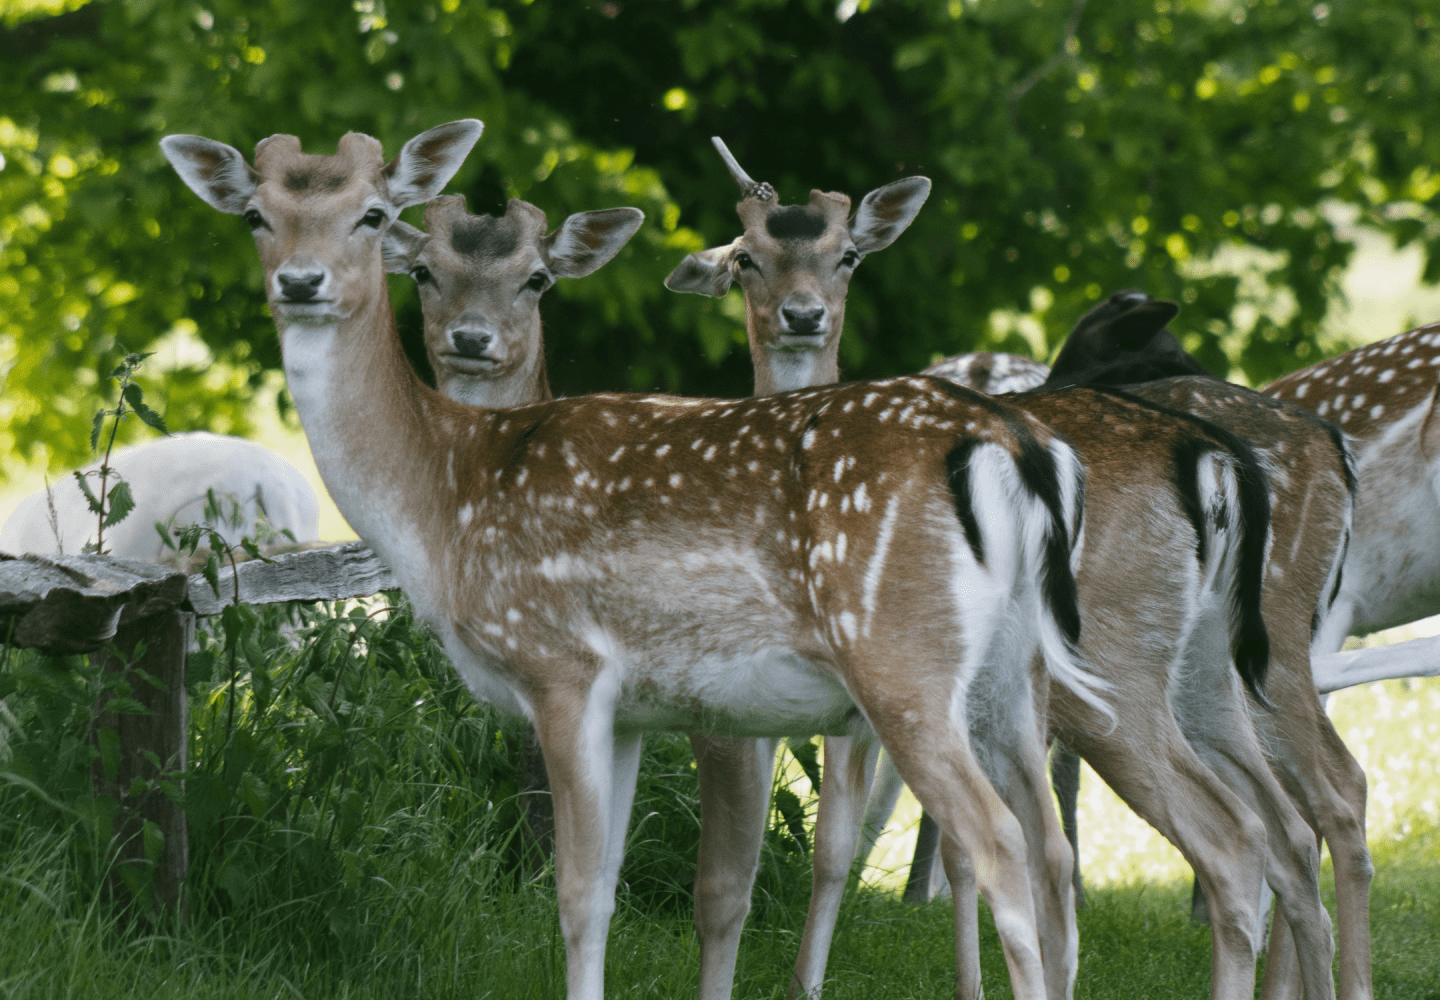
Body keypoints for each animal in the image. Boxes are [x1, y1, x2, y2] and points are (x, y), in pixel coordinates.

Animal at [161, 121, 1111, 1000]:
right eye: (256, 214)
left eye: (372, 214)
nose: (299, 282)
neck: (448, 495)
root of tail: (1021, 446)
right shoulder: (630, 711)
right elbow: (614, 888)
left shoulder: (563, 666)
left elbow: (579, 895)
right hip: (1013, 674)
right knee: (1055, 850)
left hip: (901, 657)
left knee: (1001, 845)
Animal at [666, 145, 1341, 1000]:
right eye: (744, 257)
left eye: (847, 255)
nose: (803, 314)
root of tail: (1218, 459)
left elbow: (848, 847)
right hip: (1214, 671)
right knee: (1293, 828)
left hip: (1124, 672)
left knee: (1265, 824)